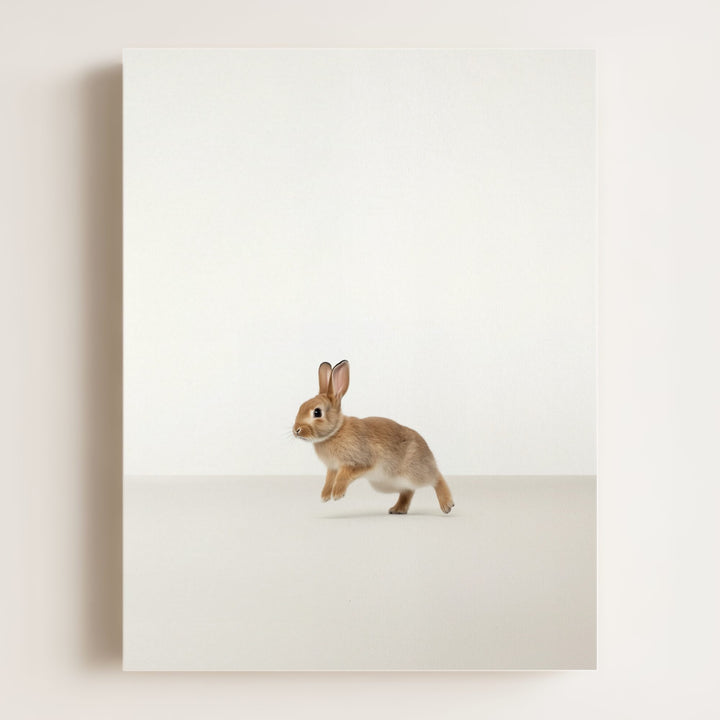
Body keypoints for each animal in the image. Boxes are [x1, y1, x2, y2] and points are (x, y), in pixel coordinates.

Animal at [293, 360, 454, 515]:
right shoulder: (332, 468)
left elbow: (343, 476)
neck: (335, 431)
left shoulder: (359, 462)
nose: (296, 430)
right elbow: (328, 480)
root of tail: (428, 451)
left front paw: (337, 494)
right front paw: (325, 496)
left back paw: (447, 504)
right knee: (408, 490)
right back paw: (398, 509)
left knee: (436, 478)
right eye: (301, 406)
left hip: (414, 472)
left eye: (317, 412)